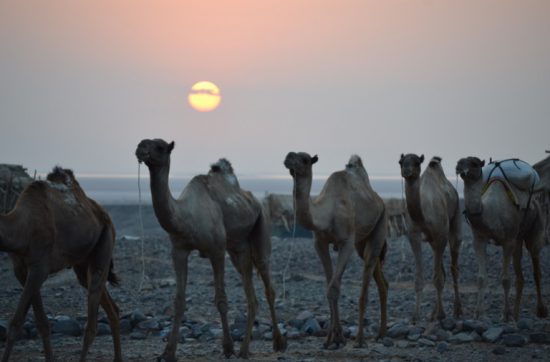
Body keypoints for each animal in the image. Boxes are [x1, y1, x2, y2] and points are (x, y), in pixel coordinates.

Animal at [0, 167, 121, 362]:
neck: (22, 227)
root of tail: (104, 213)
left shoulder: (39, 268)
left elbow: (16, 323)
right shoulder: (21, 270)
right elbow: (42, 323)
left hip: (105, 243)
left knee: (91, 326)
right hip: (82, 265)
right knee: (112, 308)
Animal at [136, 138, 286, 360]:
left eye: (160, 147)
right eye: (144, 142)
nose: (140, 148)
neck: (186, 216)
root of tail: (255, 200)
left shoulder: (217, 251)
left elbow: (221, 300)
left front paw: (228, 347)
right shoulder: (178, 250)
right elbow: (179, 301)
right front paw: (168, 352)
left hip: (261, 228)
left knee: (269, 287)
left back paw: (278, 343)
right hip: (238, 250)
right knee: (251, 295)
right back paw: (244, 350)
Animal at [284, 152, 388, 348]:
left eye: (305, 159)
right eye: (291, 154)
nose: (288, 158)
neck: (327, 213)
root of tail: (379, 200)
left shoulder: (347, 243)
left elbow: (334, 287)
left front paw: (338, 338)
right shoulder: (320, 243)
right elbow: (329, 286)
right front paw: (331, 338)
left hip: (380, 225)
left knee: (366, 282)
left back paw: (360, 339)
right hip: (362, 243)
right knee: (381, 280)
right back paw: (381, 333)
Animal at [398, 154, 464, 320]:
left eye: (416, 162)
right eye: (400, 162)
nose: (406, 170)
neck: (423, 216)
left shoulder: (441, 234)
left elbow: (438, 278)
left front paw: (441, 314)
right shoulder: (414, 235)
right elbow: (420, 278)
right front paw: (415, 316)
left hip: (456, 217)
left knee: (454, 268)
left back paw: (457, 310)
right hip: (433, 242)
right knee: (442, 270)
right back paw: (433, 312)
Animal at [458, 156, 548, 320]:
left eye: (474, 164)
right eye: (459, 163)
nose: (460, 170)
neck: (491, 211)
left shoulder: (508, 241)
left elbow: (505, 279)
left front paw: (505, 314)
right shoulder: (479, 239)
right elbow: (481, 278)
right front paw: (477, 312)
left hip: (535, 225)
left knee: (536, 268)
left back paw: (541, 310)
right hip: (518, 238)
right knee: (520, 274)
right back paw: (516, 314)